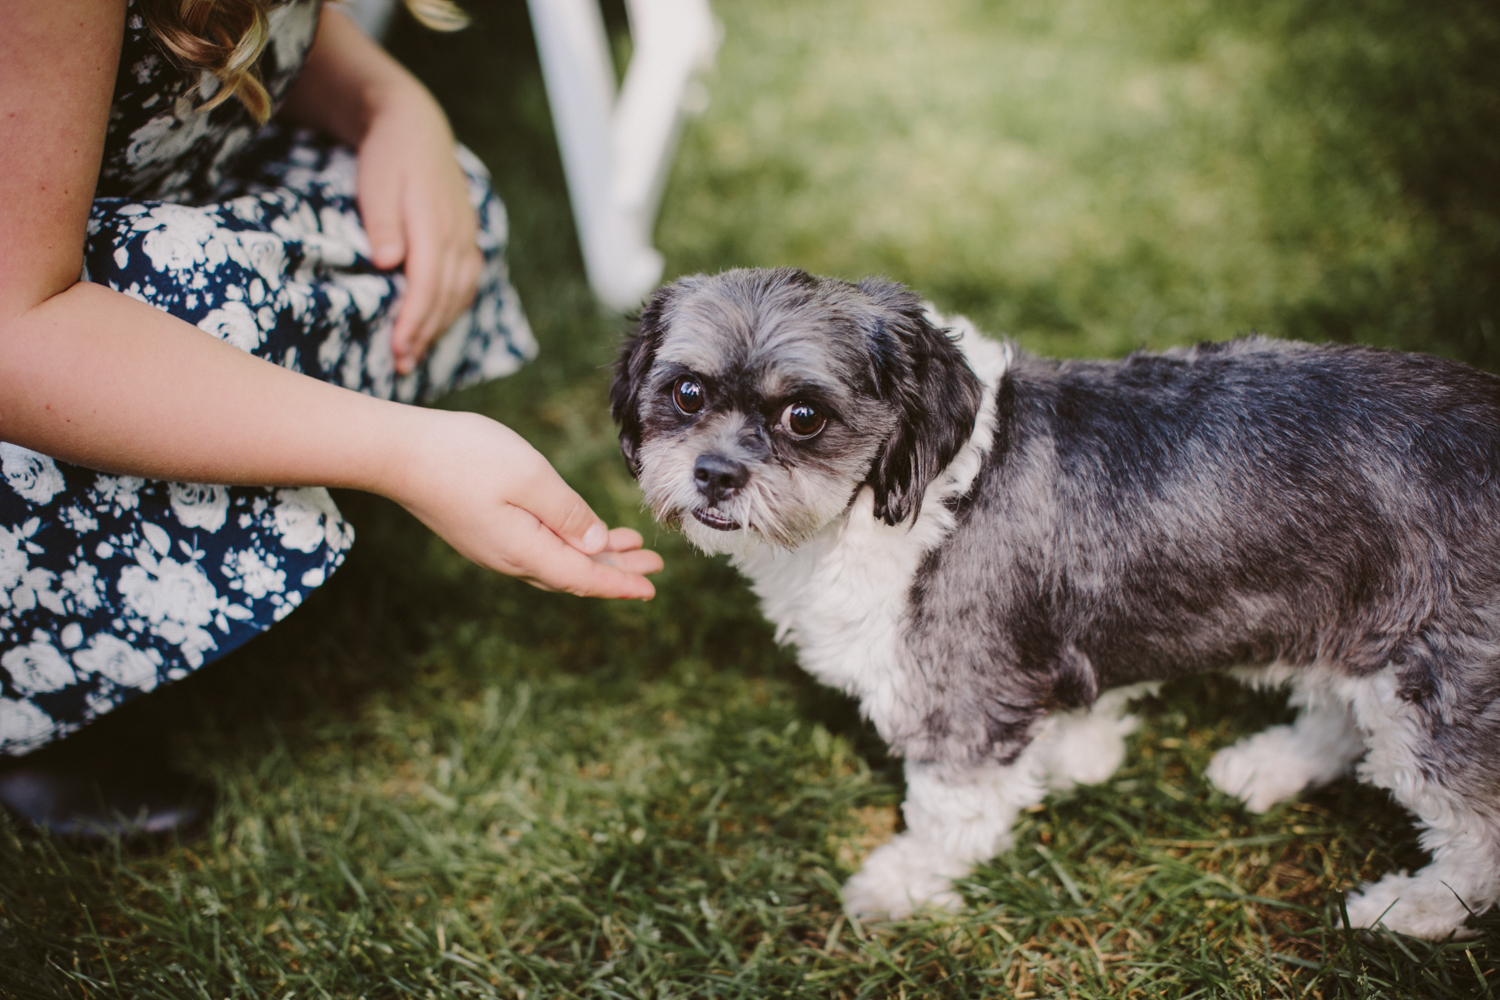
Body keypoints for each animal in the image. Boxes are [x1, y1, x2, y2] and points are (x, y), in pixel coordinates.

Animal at [606, 265, 1500, 941]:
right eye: (687, 394)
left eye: (803, 415)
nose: (715, 474)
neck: (906, 489)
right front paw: (1081, 752)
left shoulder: (962, 698)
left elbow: (947, 814)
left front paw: (900, 884)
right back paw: (1271, 764)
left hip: (1441, 685)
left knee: (1476, 832)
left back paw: (1409, 908)